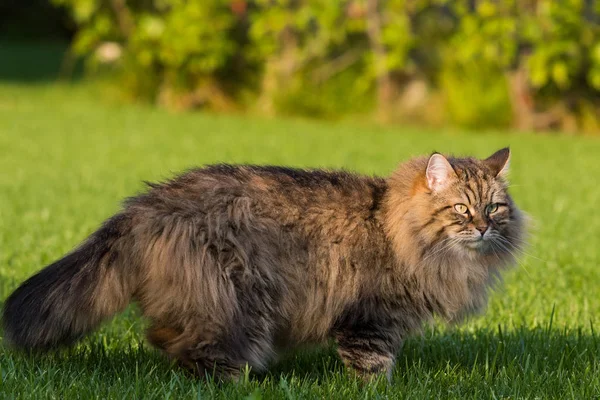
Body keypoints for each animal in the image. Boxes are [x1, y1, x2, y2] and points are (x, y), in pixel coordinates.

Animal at [2, 148, 524, 382]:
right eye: (461, 209)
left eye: (494, 208)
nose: (483, 228)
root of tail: (146, 205)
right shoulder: (372, 316)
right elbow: (373, 365)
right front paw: (379, 388)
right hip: (233, 300)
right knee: (197, 351)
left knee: (165, 335)